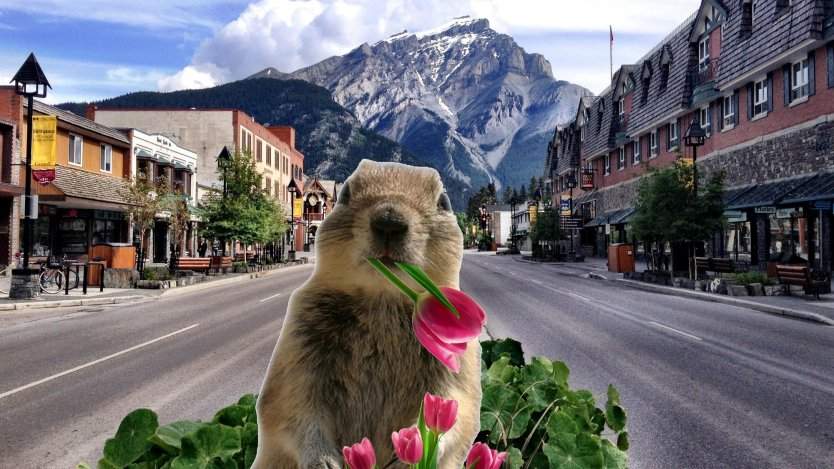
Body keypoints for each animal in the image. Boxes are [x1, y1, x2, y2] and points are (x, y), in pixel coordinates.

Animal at [252, 160, 481, 469]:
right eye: (346, 193)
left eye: (443, 201)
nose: (389, 222)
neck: (382, 298)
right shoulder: (300, 335)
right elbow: (290, 401)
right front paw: (324, 460)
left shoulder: (459, 356)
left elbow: (458, 404)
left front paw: (409, 454)